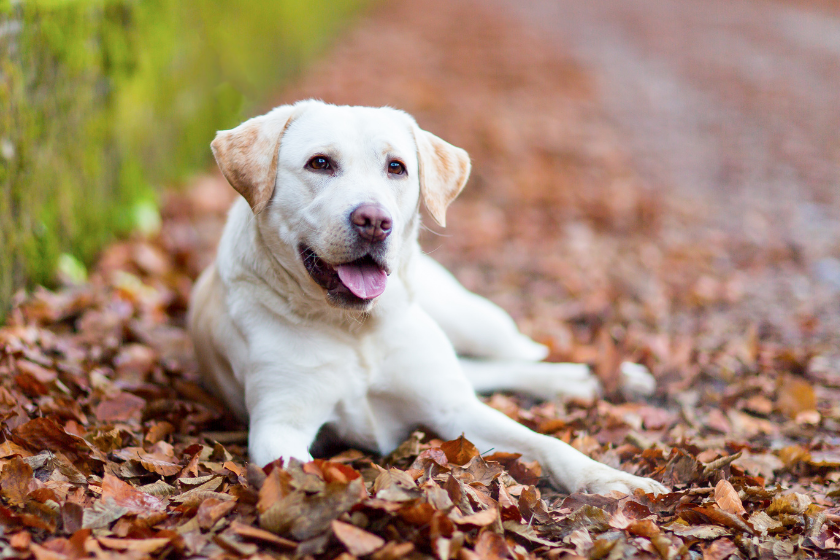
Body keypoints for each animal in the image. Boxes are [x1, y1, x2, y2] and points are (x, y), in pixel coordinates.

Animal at [187, 100, 668, 494]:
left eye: (396, 167)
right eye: (319, 163)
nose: (374, 221)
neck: (356, 329)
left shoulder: (454, 409)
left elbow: (545, 442)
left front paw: (609, 478)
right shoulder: (279, 425)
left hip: (473, 320)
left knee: (523, 351)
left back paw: (606, 374)